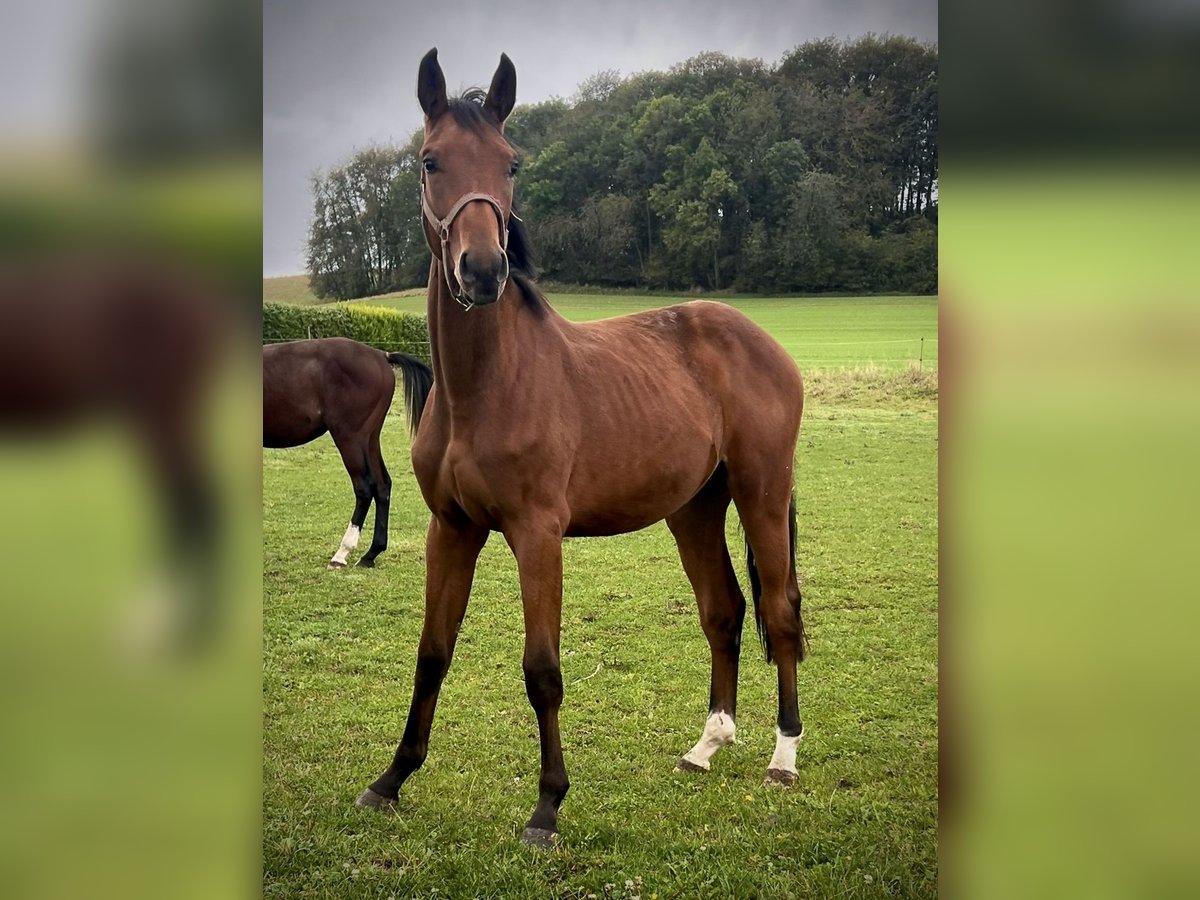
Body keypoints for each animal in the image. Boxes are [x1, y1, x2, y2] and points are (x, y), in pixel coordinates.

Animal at [262, 338, 432, 571]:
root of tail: (381, 355)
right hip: (369, 440)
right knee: (382, 485)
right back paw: (370, 554)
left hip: (350, 439)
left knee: (365, 488)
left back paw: (342, 553)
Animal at [352, 51, 806, 854]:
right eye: (431, 160)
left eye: (511, 163)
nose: (483, 270)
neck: (486, 386)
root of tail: (758, 339)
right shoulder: (451, 529)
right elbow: (432, 653)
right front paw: (392, 779)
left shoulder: (537, 534)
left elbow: (543, 671)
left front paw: (547, 808)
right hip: (695, 508)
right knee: (723, 611)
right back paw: (707, 745)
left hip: (761, 494)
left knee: (778, 611)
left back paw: (783, 757)